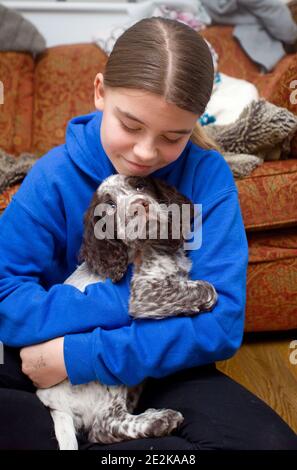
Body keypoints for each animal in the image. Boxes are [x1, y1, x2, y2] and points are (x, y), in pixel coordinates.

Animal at [37, 174, 217, 450]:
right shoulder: (144, 292)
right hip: (107, 381)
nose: (139, 206)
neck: (153, 245)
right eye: (109, 206)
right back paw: (161, 420)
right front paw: (204, 299)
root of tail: (53, 405)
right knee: (103, 427)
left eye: (141, 185)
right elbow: (205, 288)